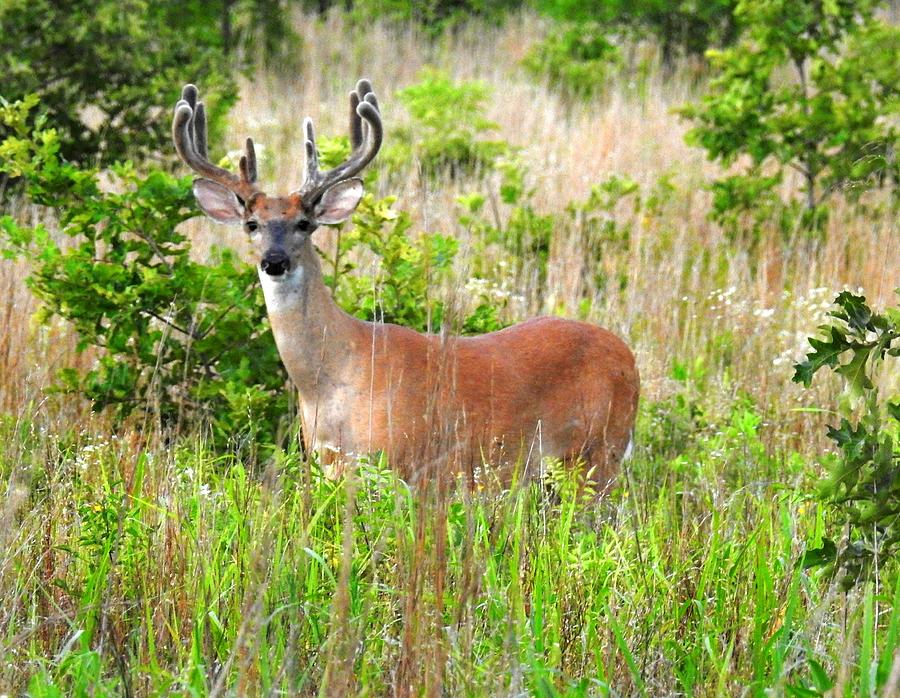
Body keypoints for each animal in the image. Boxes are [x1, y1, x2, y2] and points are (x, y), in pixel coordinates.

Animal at [174, 79, 640, 490]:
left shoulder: (399, 460)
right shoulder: (331, 463)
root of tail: (627, 356)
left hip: (599, 450)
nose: (274, 261)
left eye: (304, 223)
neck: (330, 380)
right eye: (252, 224)